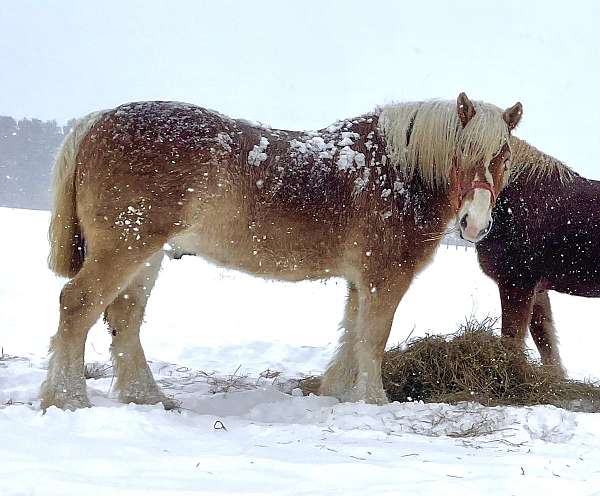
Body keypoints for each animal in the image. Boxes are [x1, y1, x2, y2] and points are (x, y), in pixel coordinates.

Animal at [42, 94, 524, 410]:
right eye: (463, 151)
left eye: (503, 155)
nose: (475, 224)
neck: (398, 172)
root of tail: (97, 120)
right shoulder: (384, 279)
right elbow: (372, 339)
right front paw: (373, 401)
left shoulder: (359, 281)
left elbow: (351, 335)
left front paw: (334, 393)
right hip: (125, 247)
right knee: (77, 306)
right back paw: (67, 399)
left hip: (146, 256)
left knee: (124, 318)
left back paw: (146, 397)